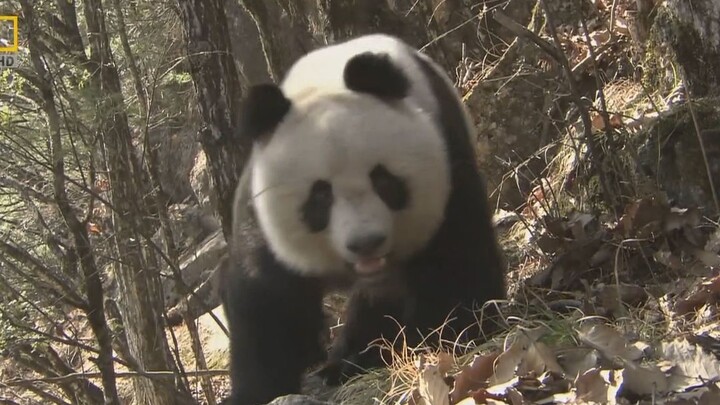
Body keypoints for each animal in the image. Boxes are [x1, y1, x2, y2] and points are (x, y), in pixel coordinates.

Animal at [224, 34, 506, 404]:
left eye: (383, 180)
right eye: (320, 195)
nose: (365, 242)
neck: (325, 82)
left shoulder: (448, 165)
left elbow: (456, 260)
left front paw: (445, 334)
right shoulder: (263, 219)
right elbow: (269, 303)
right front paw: (261, 388)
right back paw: (344, 363)